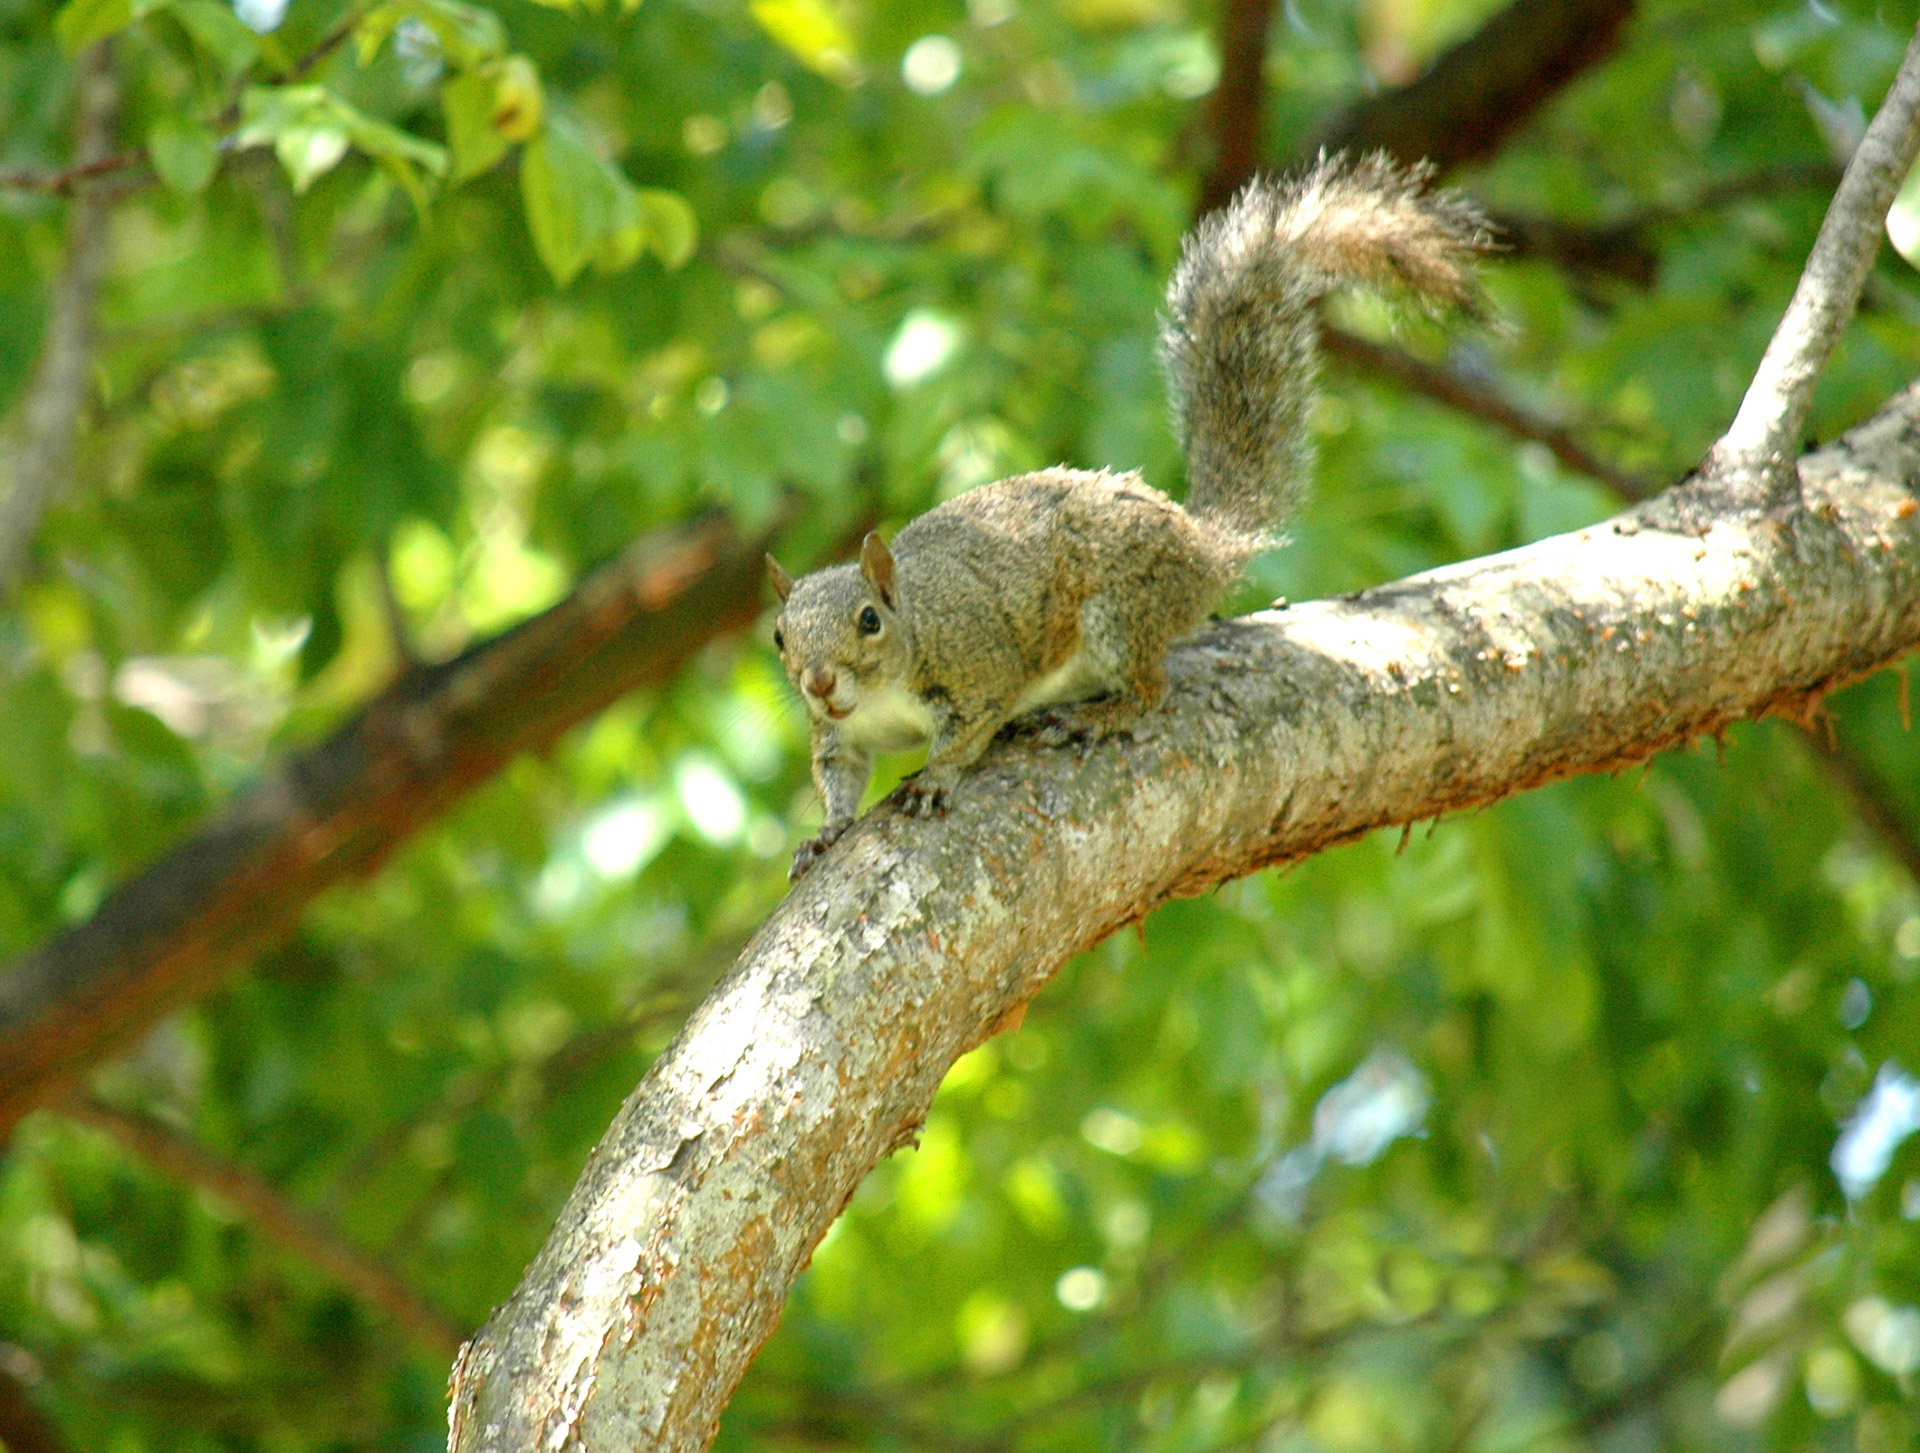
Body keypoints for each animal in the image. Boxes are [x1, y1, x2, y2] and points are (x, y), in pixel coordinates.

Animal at [764, 152, 1482, 879]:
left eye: (870, 620)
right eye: (779, 637)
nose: (818, 682)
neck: (887, 681)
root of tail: (1201, 549)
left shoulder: (978, 670)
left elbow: (966, 734)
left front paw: (935, 779)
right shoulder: (839, 737)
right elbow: (838, 776)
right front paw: (827, 831)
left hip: (1120, 605)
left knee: (1150, 688)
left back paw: (1100, 715)